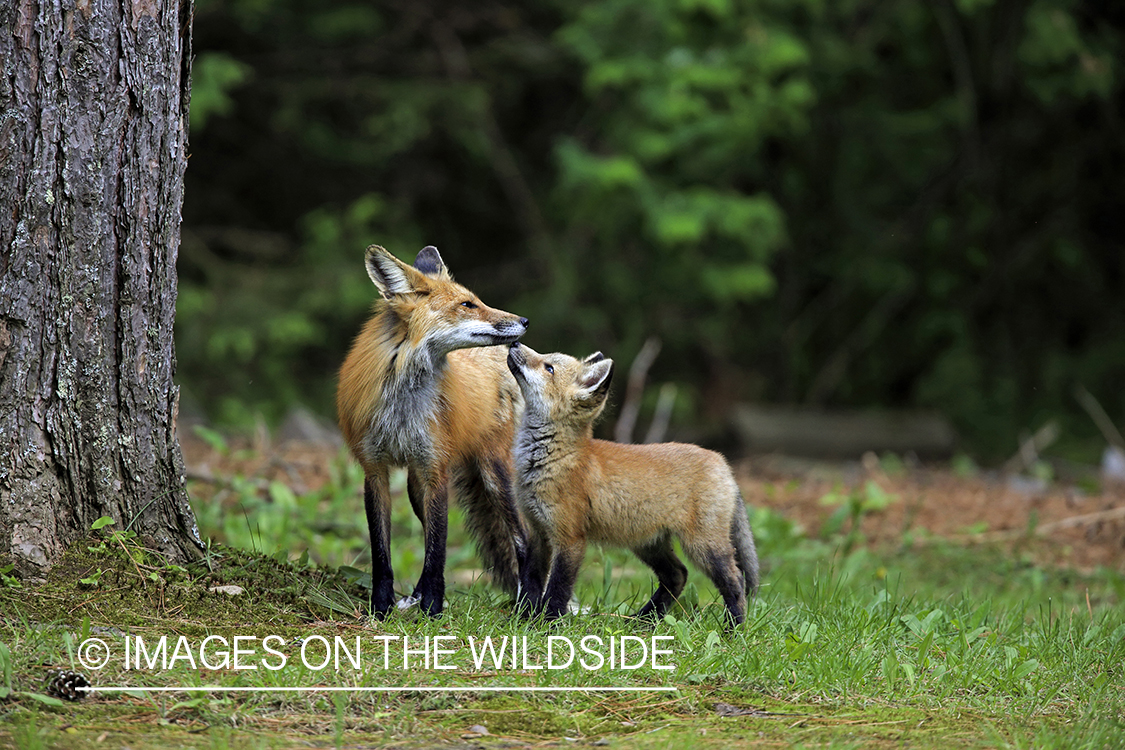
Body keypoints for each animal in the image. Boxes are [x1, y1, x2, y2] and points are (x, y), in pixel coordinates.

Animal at [337, 245, 539, 618]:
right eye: (468, 304)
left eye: (476, 300)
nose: (525, 321)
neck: (402, 406)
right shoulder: (375, 469)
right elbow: (382, 551)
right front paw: (382, 606)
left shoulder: (437, 469)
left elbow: (438, 549)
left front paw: (433, 606)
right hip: (416, 485)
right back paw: (414, 596)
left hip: (496, 475)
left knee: (526, 537)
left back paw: (529, 603)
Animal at [506, 343, 760, 625]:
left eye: (548, 367)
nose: (515, 343)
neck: (548, 461)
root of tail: (721, 461)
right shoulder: (538, 532)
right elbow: (530, 582)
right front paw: (523, 620)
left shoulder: (570, 538)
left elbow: (558, 588)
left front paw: (548, 624)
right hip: (648, 545)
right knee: (678, 574)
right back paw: (645, 619)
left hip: (703, 546)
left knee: (734, 580)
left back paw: (733, 628)